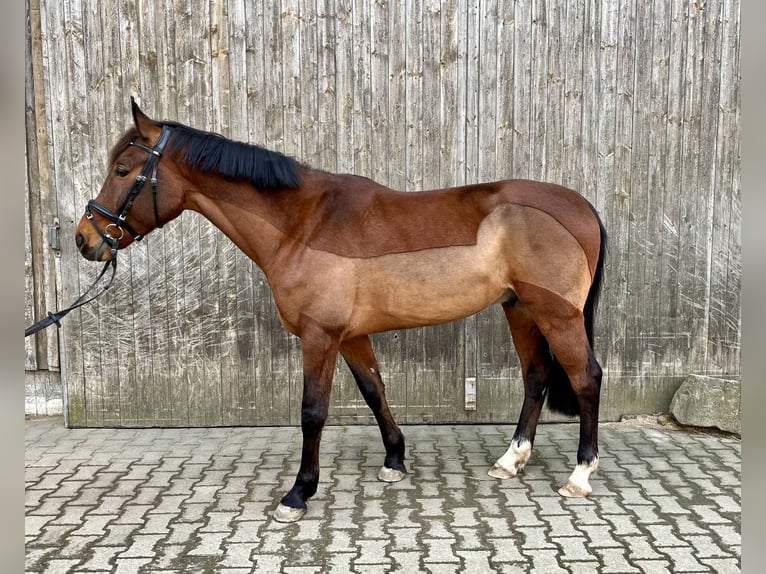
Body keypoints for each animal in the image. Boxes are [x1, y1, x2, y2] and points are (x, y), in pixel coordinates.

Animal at [75, 99, 608, 520]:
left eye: (122, 170)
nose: (84, 239)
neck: (303, 224)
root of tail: (580, 206)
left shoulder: (320, 336)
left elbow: (313, 412)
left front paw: (299, 492)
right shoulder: (350, 335)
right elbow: (374, 392)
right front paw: (395, 461)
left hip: (556, 314)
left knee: (586, 378)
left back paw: (580, 475)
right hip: (520, 309)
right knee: (536, 377)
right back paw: (510, 461)